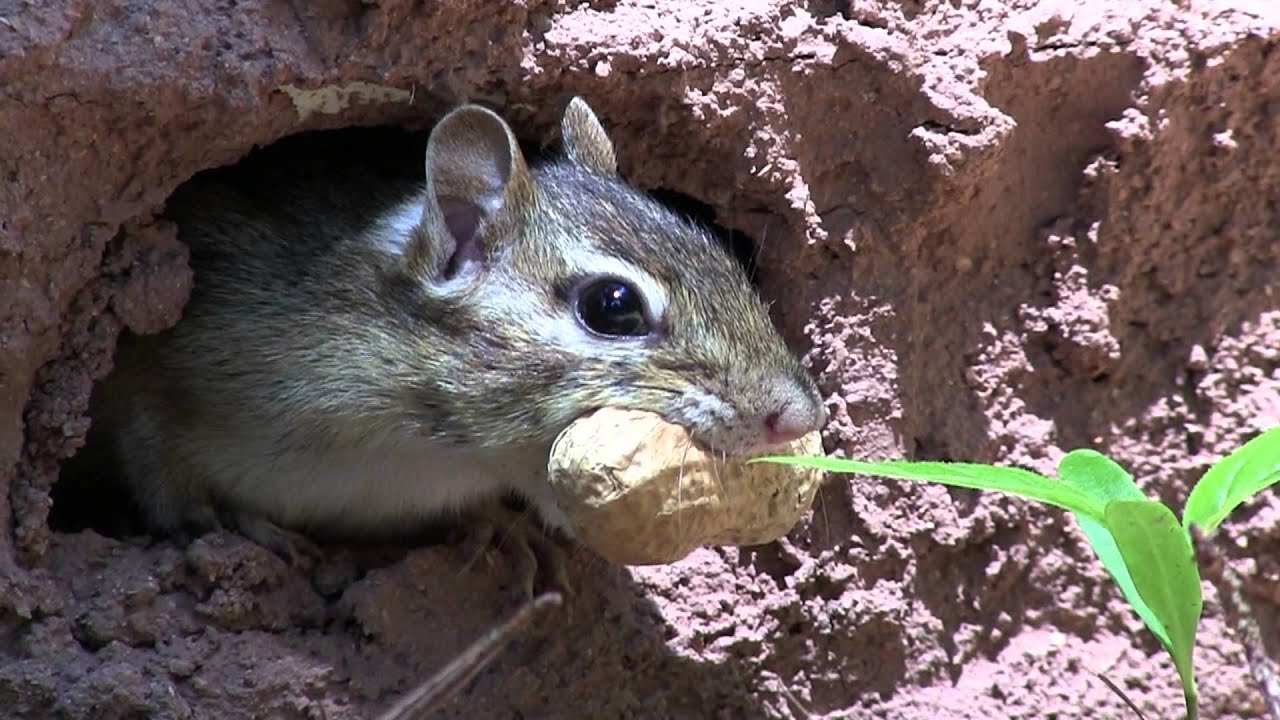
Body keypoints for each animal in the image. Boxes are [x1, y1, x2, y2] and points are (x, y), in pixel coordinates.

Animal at [86, 97, 827, 597]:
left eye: (723, 256)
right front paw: (226, 524)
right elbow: (152, 448)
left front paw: (504, 526)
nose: (799, 415)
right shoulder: (165, 365)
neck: (427, 451)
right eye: (612, 307)